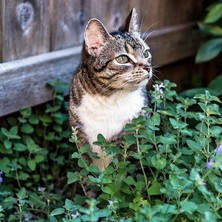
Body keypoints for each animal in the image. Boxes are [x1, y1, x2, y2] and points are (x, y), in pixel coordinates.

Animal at [69, 8, 153, 172]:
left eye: (146, 54)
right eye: (122, 59)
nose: (148, 67)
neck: (110, 98)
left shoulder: (131, 141)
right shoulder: (81, 142)